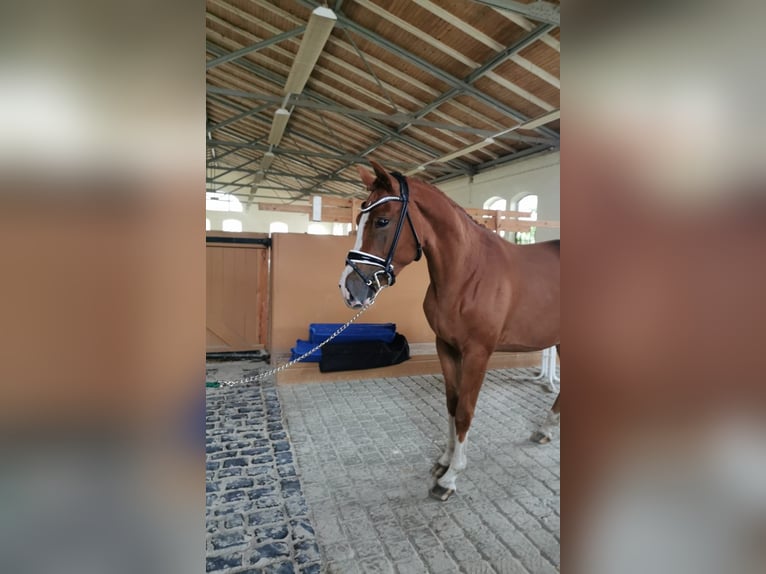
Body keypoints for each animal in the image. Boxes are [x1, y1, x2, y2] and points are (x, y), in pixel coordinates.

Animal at [339, 160, 560, 501]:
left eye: (382, 220)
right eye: (359, 217)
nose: (349, 289)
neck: (469, 273)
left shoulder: (477, 354)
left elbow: (465, 411)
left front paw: (451, 477)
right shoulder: (446, 346)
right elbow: (452, 405)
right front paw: (444, 460)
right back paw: (544, 430)